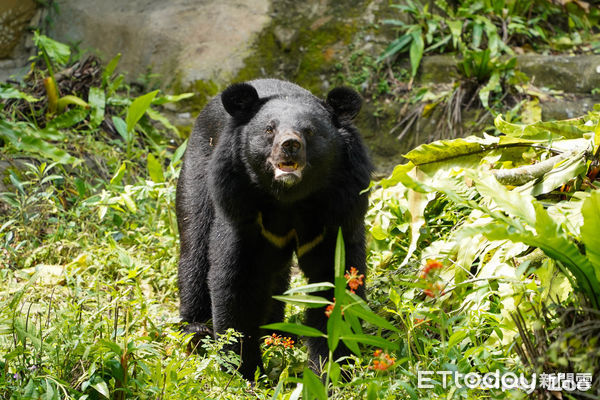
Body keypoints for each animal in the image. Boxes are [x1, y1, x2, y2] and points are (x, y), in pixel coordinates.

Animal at [176, 77, 372, 378]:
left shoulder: (339, 212)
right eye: (269, 129)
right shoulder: (240, 208)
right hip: (197, 174)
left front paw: (329, 369)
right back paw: (196, 330)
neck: (289, 198)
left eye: (309, 130)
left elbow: (335, 283)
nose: (290, 145)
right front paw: (244, 370)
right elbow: (239, 278)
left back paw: (276, 334)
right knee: (195, 246)